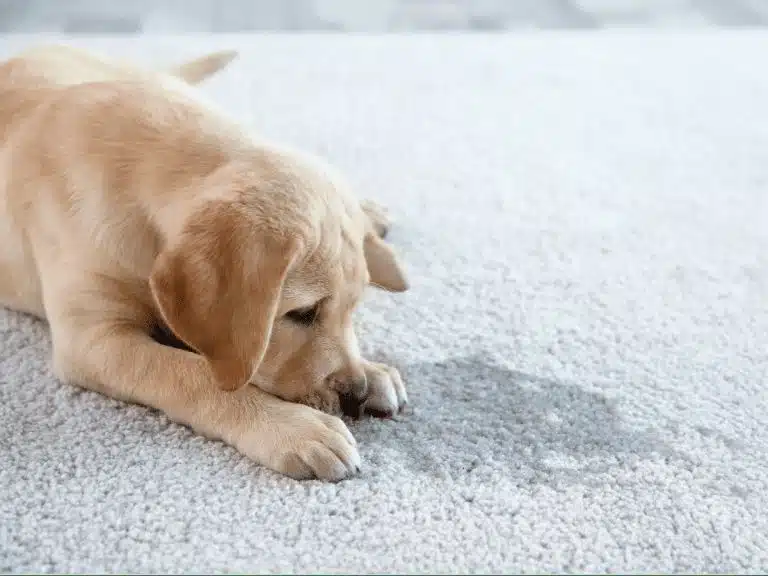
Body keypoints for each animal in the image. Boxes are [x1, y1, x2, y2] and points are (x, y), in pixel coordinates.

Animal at [0, 45, 412, 480]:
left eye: (352, 309)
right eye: (302, 313)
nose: (356, 394)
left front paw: (372, 369)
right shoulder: (93, 339)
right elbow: (193, 373)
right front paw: (292, 427)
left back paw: (370, 215)